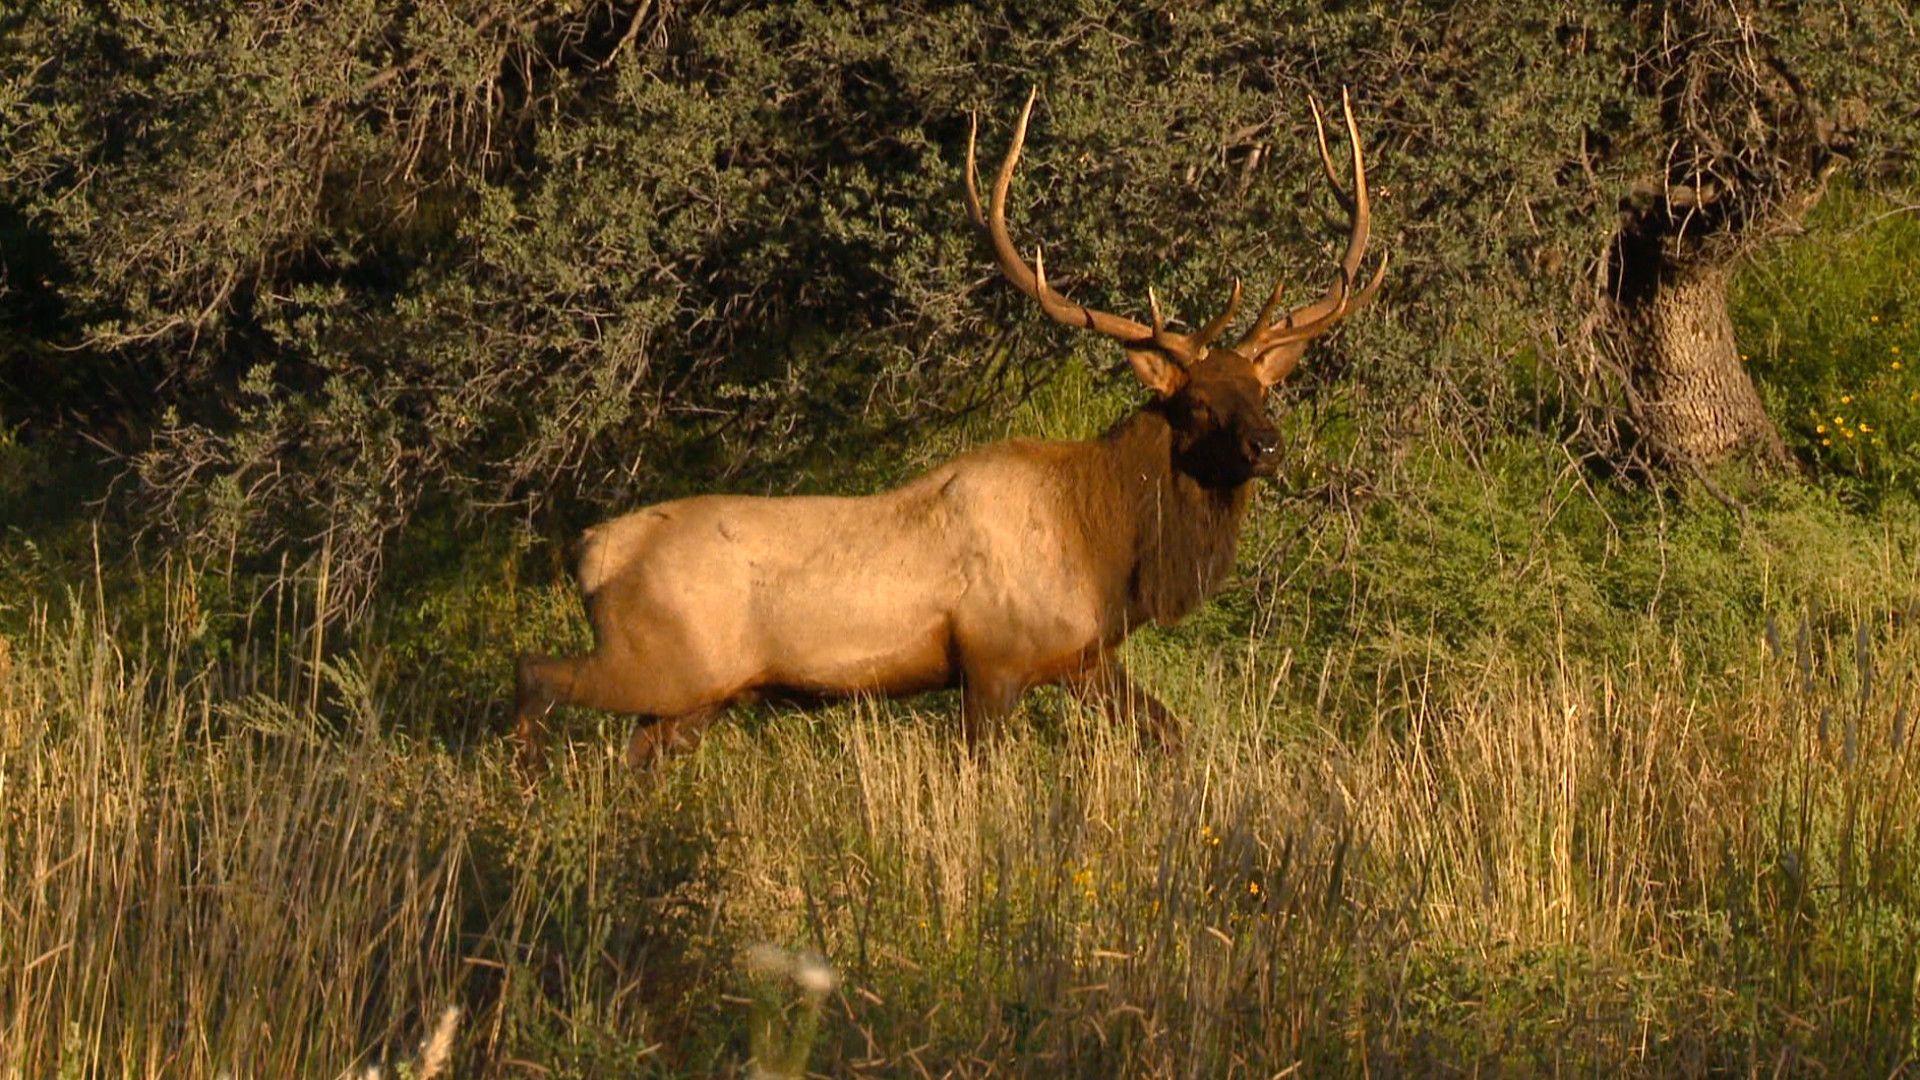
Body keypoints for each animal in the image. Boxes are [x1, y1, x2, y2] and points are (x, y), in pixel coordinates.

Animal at [514, 89, 1384, 767]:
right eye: (1196, 401)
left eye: (1265, 391)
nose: (1268, 448)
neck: (1107, 547)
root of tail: (588, 552)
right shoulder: (992, 659)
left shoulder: (1081, 658)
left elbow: (1173, 736)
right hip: (661, 662)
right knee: (535, 677)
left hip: (696, 696)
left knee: (632, 752)